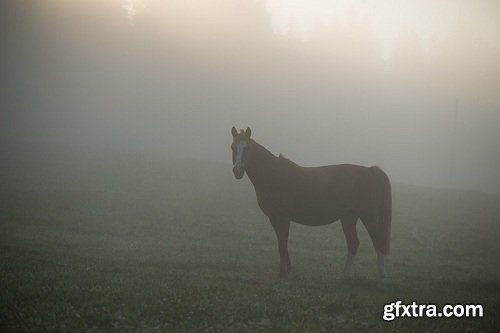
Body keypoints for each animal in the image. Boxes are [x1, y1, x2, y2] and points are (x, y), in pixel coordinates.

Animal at [230, 127, 390, 278]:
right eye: (233, 147)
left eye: (246, 148)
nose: (237, 171)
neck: (274, 174)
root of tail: (370, 171)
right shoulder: (274, 218)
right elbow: (282, 243)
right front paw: (287, 269)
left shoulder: (283, 217)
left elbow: (282, 244)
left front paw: (283, 272)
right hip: (348, 218)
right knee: (354, 243)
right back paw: (345, 274)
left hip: (368, 217)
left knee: (377, 242)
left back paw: (379, 274)